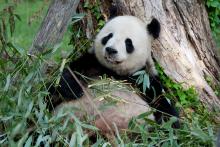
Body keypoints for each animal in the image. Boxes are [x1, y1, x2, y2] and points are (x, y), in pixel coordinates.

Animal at [49, 14, 180, 134]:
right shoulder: (92, 64)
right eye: (108, 36)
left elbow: (163, 106)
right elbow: (59, 82)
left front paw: (171, 127)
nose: (110, 50)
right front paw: (73, 89)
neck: (114, 72)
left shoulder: (144, 80)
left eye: (128, 43)